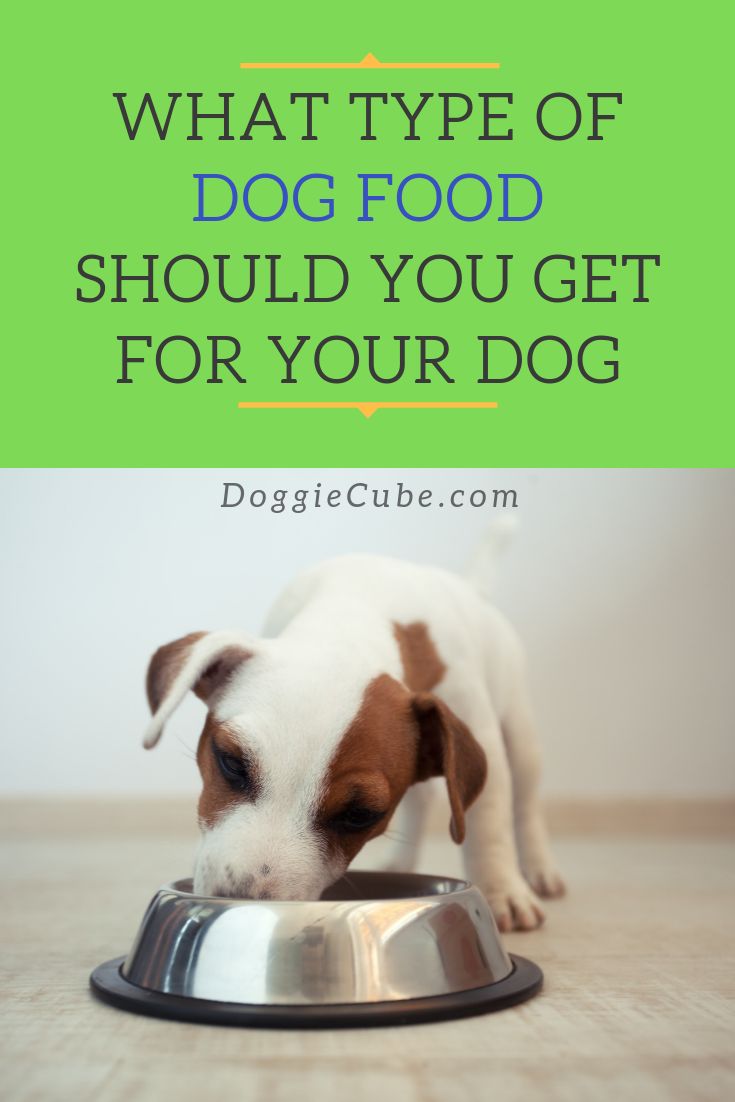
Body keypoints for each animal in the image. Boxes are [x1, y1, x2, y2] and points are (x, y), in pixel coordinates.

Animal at [142, 551, 564, 930]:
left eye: (359, 814)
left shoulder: (481, 729)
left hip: (520, 735)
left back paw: (539, 869)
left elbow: (488, 824)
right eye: (231, 763)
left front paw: (501, 890)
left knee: (524, 806)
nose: (243, 903)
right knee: (422, 798)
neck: (352, 614)